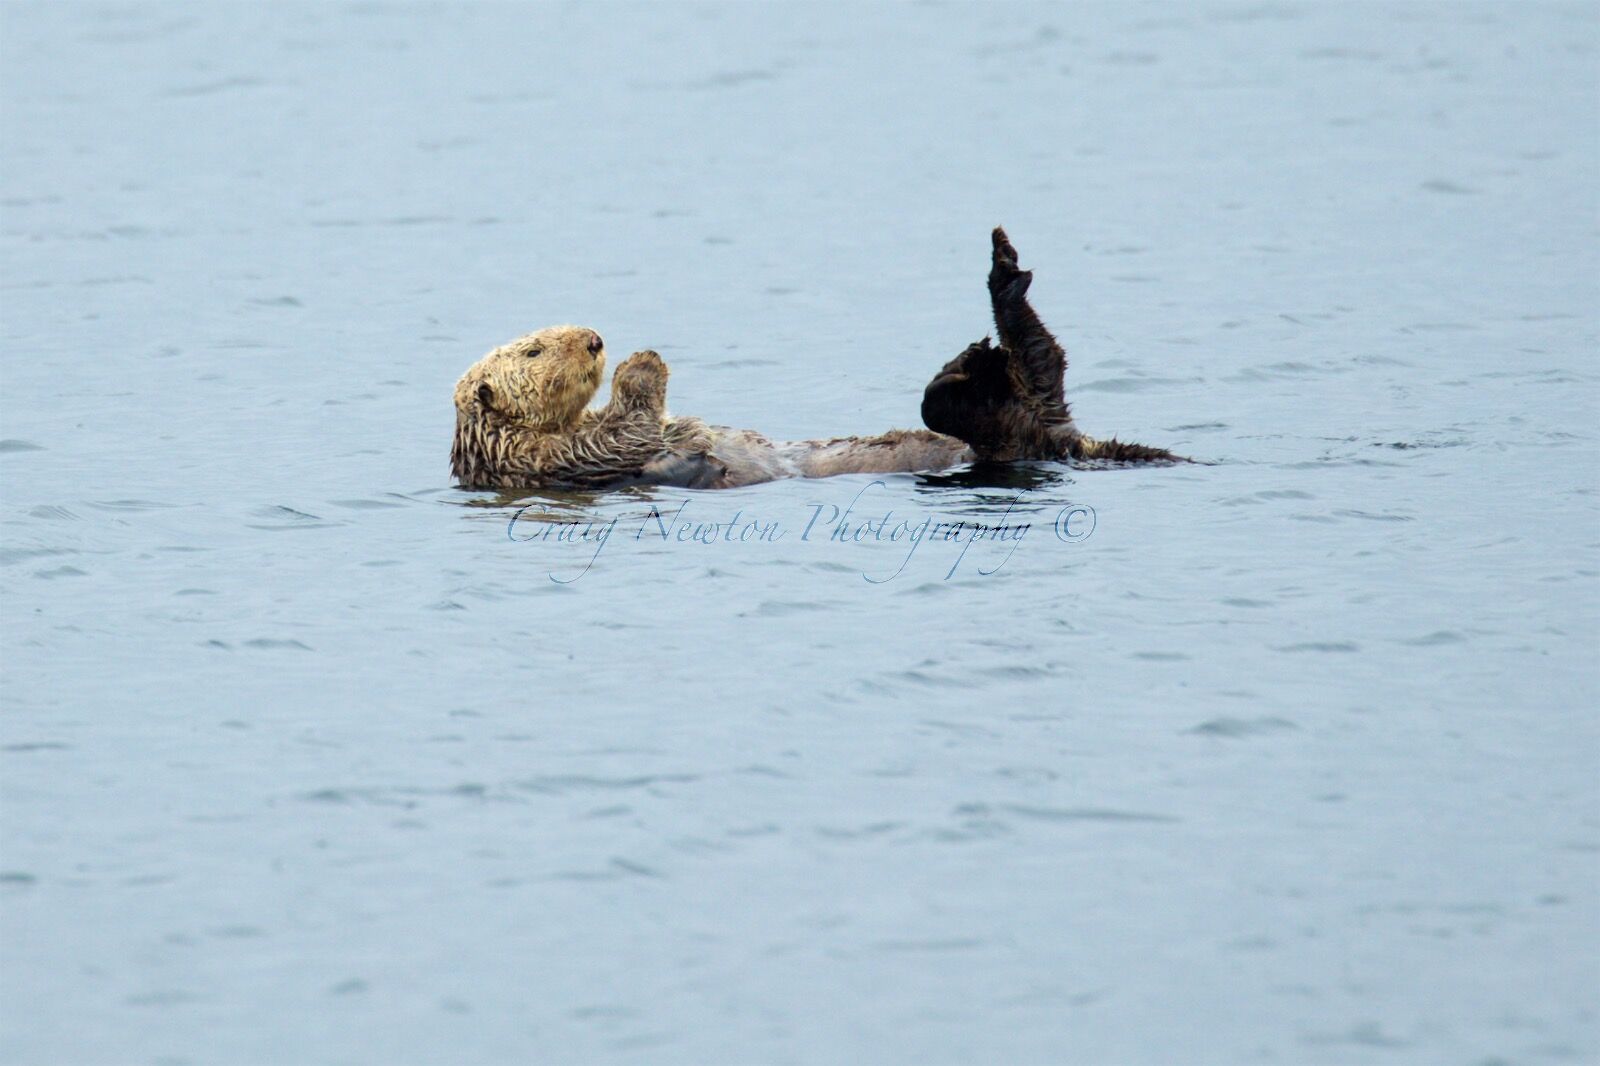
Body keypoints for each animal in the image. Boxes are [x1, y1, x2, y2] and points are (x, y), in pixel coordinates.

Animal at [450, 228, 1181, 491]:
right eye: (536, 347)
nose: (596, 339)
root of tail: (1063, 440)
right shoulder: (563, 458)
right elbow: (629, 430)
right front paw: (642, 363)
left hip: (1034, 420)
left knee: (1039, 365)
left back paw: (1000, 283)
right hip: (1005, 436)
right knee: (1014, 388)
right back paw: (975, 352)